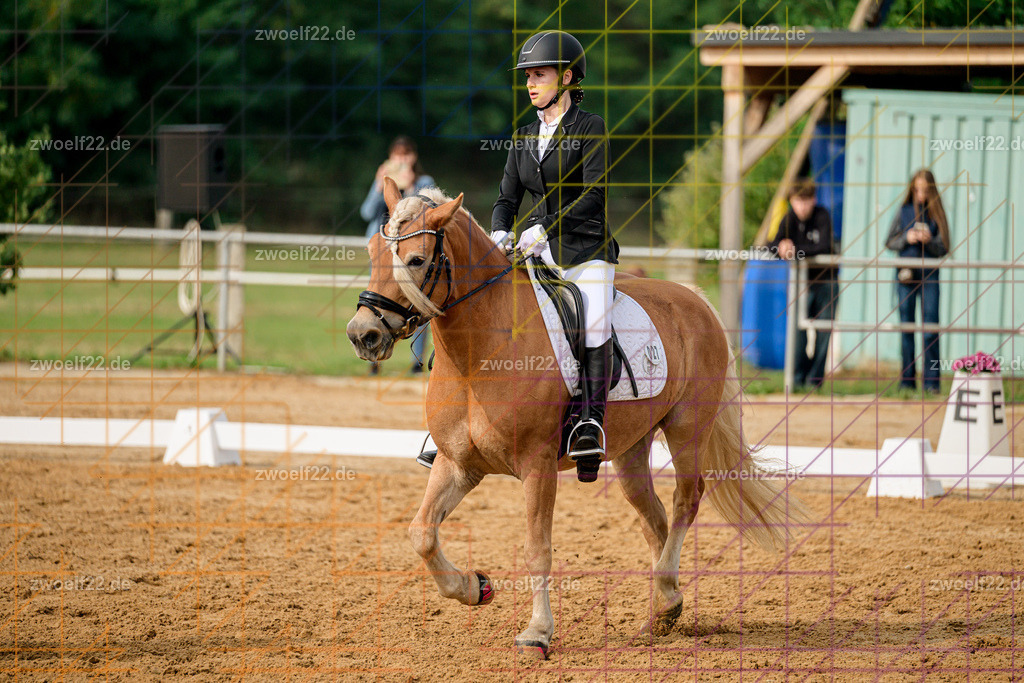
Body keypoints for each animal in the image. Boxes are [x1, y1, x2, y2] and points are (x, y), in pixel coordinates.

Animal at [346, 177, 806, 658]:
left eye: (416, 260)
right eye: (372, 252)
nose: (363, 335)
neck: (479, 351)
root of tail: (694, 300)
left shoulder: (537, 465)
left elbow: (537, 548)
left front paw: (537, 632)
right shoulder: (458, 464)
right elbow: (422, 532)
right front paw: (476, 587)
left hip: (686, 430)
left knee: (686, 499)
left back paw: (665, 594)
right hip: (630, 448)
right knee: (654, 516)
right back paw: (665, 608)